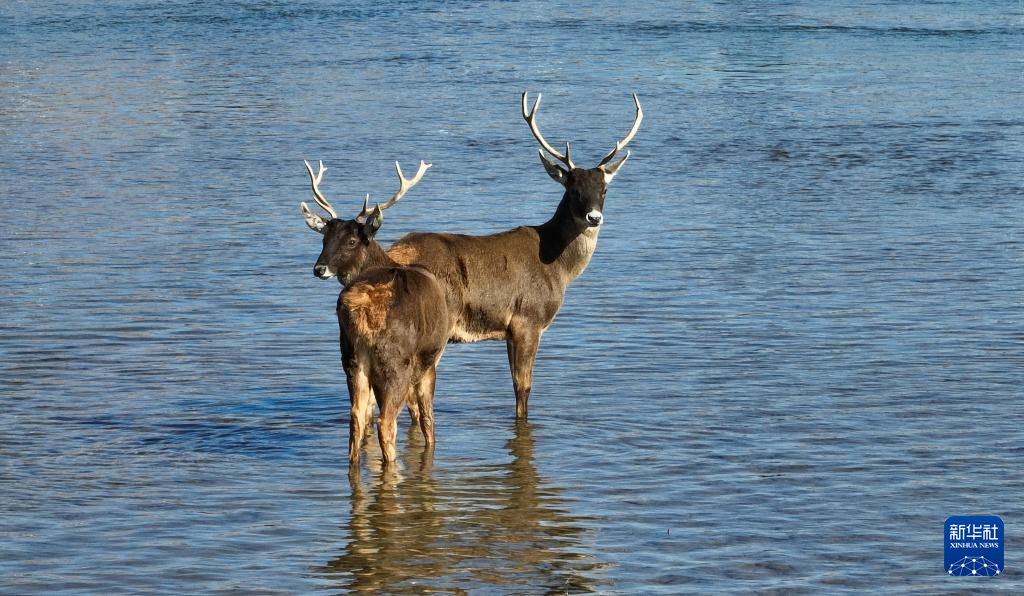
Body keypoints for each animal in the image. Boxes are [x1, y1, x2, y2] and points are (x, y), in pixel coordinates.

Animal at [299, 159, 452, 466]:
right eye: (324, 239)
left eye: (351, 241)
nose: (319, 268)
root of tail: (360, 308)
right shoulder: (430, 359)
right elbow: (427, 420)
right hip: (395, 361)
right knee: (386, 422)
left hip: (351, 359)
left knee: (356, 417)